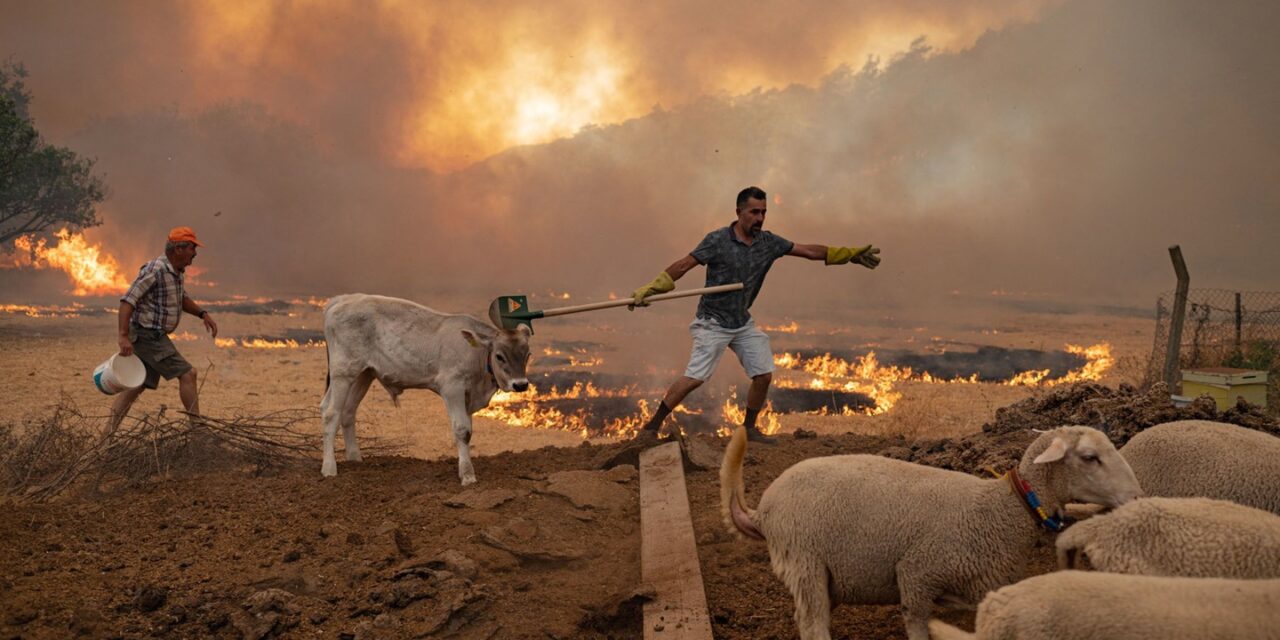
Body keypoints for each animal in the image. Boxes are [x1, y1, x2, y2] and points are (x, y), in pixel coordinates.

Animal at [716, 424, 1146, 640]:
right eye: (1090, 457)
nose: (1137, 496)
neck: (1001, 510)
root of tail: (763, 510)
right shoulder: (917, 575)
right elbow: (919, 627)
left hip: (823, 576)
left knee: (804, 617)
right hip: (804, 559)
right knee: (813, 625)